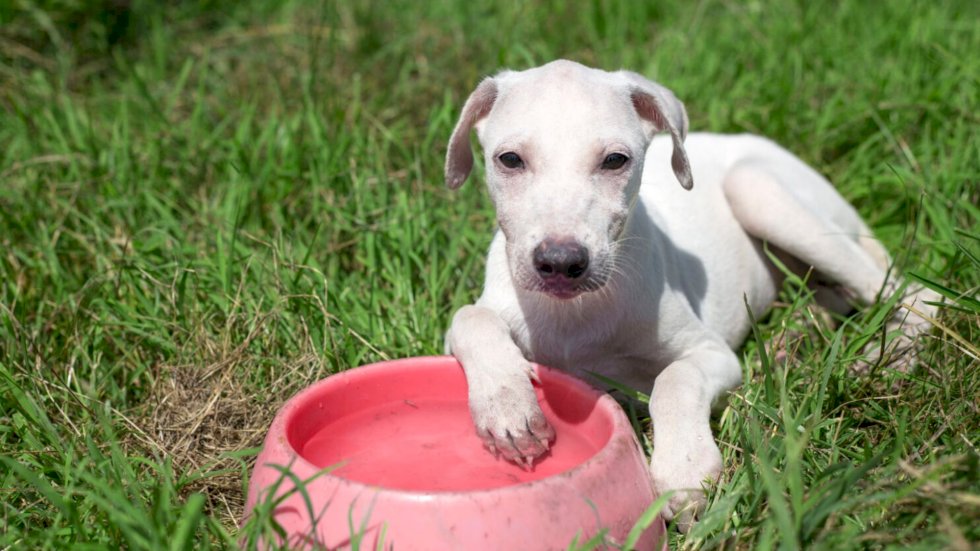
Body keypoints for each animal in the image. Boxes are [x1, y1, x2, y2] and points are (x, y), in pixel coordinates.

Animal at [442, 59, 936, 528]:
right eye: (509, 159)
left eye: (615, 160)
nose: (561, 264)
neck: (575, 314)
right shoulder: (491, 307)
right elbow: (469, 318)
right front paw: (507, 407)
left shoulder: (714, 354)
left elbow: (674, 380)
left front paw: (684, 471)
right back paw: (795, 336)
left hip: (759, 190)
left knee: (911, 292)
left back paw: (888, 358)